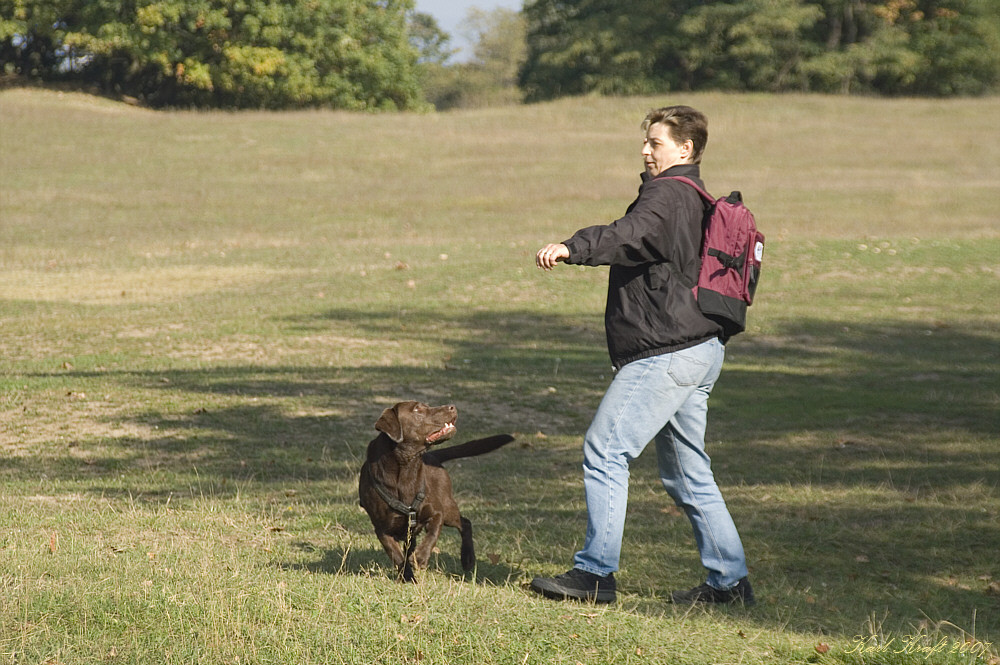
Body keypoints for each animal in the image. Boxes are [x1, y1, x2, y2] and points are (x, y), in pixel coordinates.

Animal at [358, 400, 512, 580]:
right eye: (417, 409)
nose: (452, 407)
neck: (407, 469)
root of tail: (433, 456)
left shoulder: (437, 513)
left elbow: (432, 535)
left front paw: (421, 558)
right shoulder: (382, 530)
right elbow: (397, 556)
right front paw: (408, 578)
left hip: (448, 508)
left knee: (465, 523)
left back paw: (467, 559)